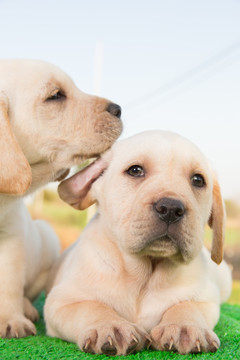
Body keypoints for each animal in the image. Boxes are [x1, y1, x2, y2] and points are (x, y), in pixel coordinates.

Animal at [0, 59, 123, 338]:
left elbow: (8, 283)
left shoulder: (11, 235)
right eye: (55, 96)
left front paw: (10, 319)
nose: (118, 109)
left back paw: (26, 309)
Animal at [44, 131, 232, 354]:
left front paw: (184, 326)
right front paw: (110, 326)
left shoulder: (206, 299)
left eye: (198, 180)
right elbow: (91, 306)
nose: (170, 208)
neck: (146, 277)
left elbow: (186, 305)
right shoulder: (61, 301)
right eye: (135, 171)